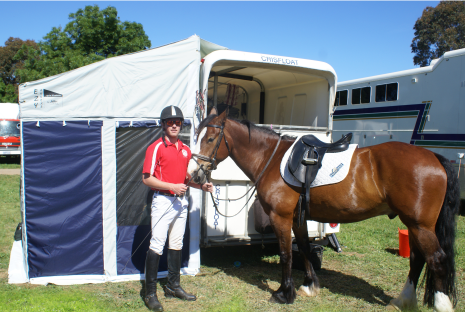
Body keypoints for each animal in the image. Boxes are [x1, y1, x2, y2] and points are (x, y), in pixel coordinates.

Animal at [187, 110, 458, 312]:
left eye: (210, 139)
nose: (193, 175)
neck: (272, 160)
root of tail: (434, 157)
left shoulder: (281, 217)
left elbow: (285, 254)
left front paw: (284, 293)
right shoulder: (298, 218)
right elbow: (304, 247)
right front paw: (309, 285)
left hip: (420, 225)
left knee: (436, 259)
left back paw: (441, 304)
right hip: (414, 224)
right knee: (418, 258)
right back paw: (404, 300)